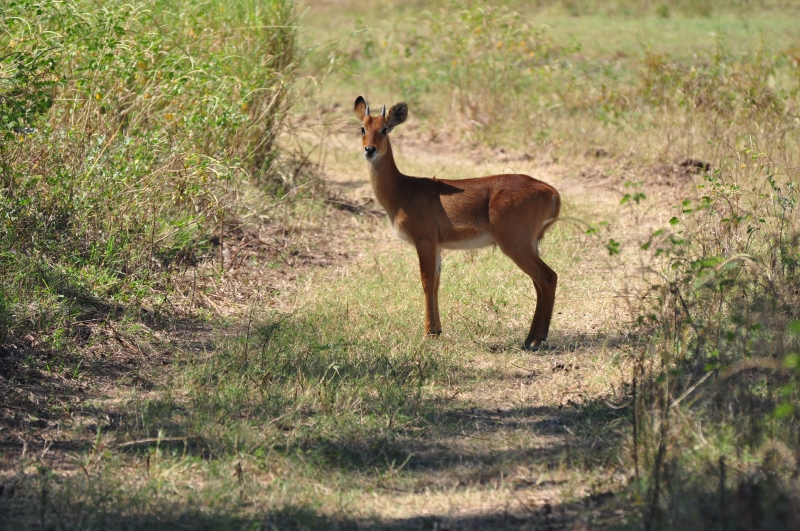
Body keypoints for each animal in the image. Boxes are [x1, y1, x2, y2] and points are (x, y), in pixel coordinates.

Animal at [354, 96, 560, 350]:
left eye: (384, 129)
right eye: (363, 128)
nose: (369, 150)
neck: (403, 191)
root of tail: (549, 190)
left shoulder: (424, 241)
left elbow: (426, 282)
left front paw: (428, 333)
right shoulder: (437, 246)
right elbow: (435, 283)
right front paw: (437, 330)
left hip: (515, 244)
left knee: (548, 277)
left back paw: (537, 340)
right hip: (529, 244)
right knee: (539, 282)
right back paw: (529, 338)